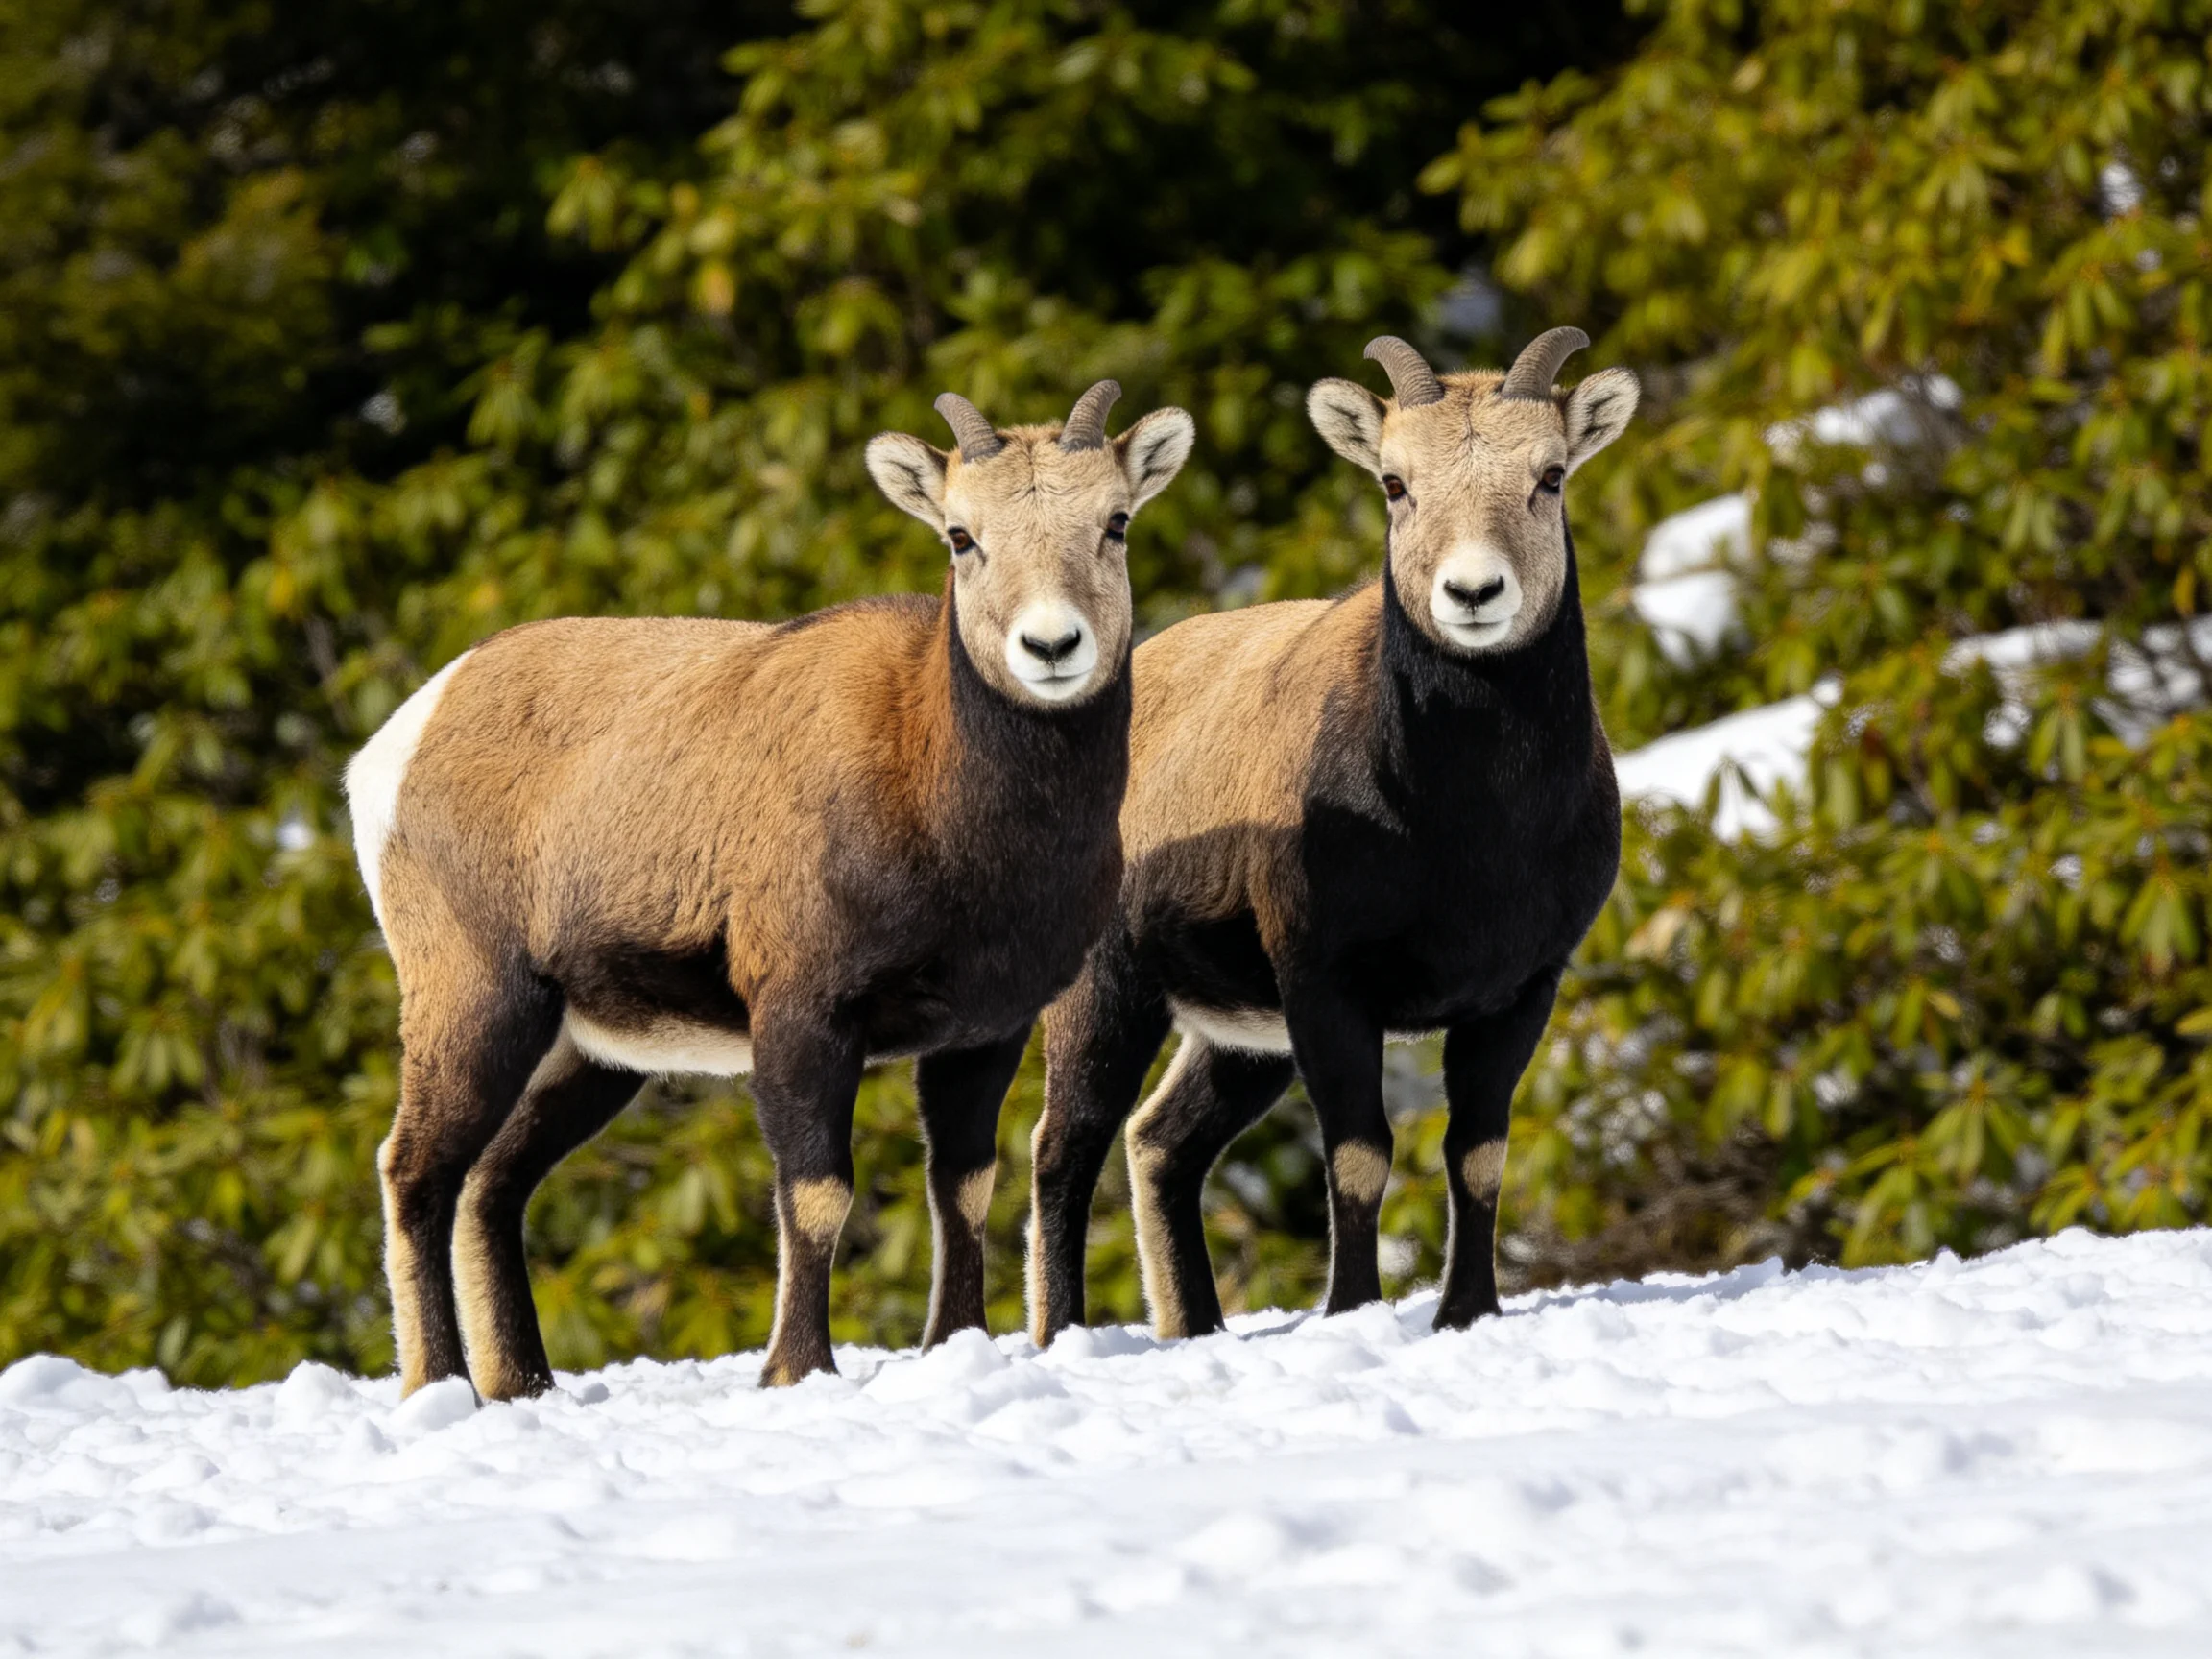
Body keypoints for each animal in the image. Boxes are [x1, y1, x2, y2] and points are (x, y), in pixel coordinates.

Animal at [347, 382, 1196, 1396]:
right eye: (962, 536)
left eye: (1115, 521)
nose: (1052, 645)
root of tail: (392, 749)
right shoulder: (802, 1014)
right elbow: (818, 1194)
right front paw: (796, 1369)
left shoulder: (984, 1031)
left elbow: (963, 1187)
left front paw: (953, 1344)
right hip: (478, 1006)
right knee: (416, 1173)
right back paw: (443, 1385)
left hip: (591, 1055)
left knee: (493, 1185)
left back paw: (523, 1383)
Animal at [1026, 330, 1636, 1343]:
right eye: (1395, 481)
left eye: (1550, 475)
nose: (1474, 590)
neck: (1471, 832)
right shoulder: (1324, 980)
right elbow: (1359, 1153)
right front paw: (1352, 1309)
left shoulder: (1519, 991)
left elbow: (1477, 1154)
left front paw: (1466, 1312)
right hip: (1109, 993)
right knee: (1065, 1148)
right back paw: (1063, 1334)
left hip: (1240, 1042)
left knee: (1161, 1143)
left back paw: (1197, 1325)